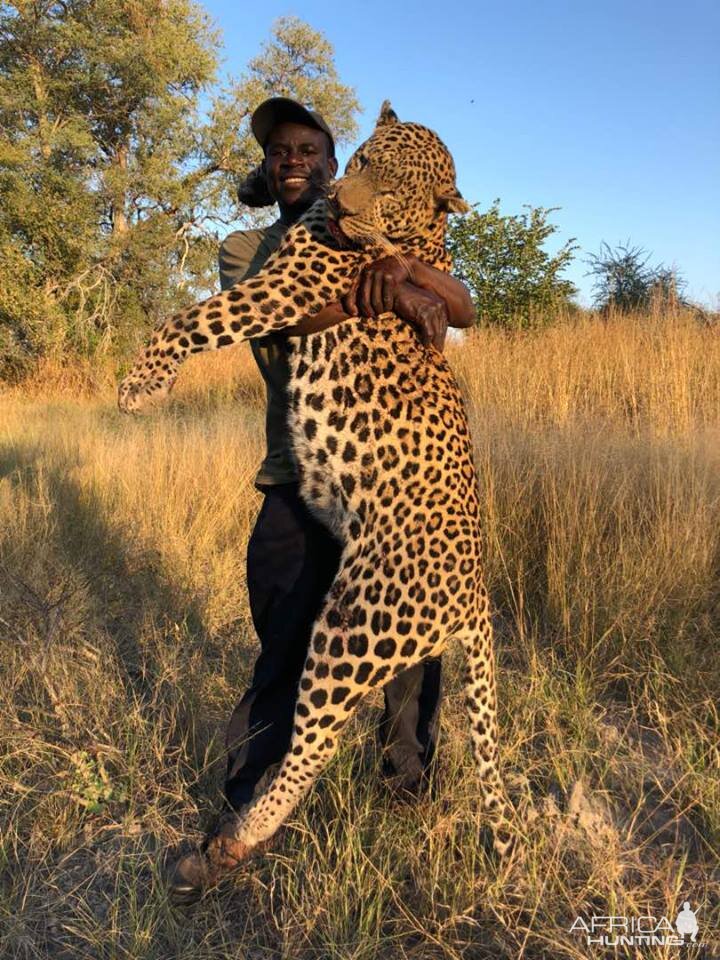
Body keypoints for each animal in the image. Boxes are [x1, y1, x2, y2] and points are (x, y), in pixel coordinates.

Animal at [116, 99, 512, 900]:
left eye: (393, 189)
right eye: (359, 161)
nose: (341, 200)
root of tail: (477, 592)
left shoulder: (289, 289)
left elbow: (192, 317)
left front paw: (141, 383)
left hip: (353, 626)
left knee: (311, 742)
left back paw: (237, 839)